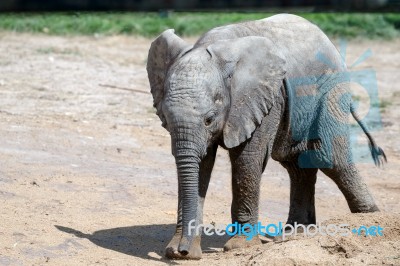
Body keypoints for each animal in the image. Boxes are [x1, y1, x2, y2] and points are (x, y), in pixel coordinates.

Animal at [145, 13, 386, 258]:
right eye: (165, 118)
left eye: (209, 119)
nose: (182, 252)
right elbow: (202, 163)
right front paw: (180, 251)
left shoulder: (265, 98)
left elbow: (246, 160)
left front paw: (240, 246)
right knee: (298, 165)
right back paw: (295, 234)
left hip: (330, 92)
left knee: (330, 158)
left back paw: (370, 220)